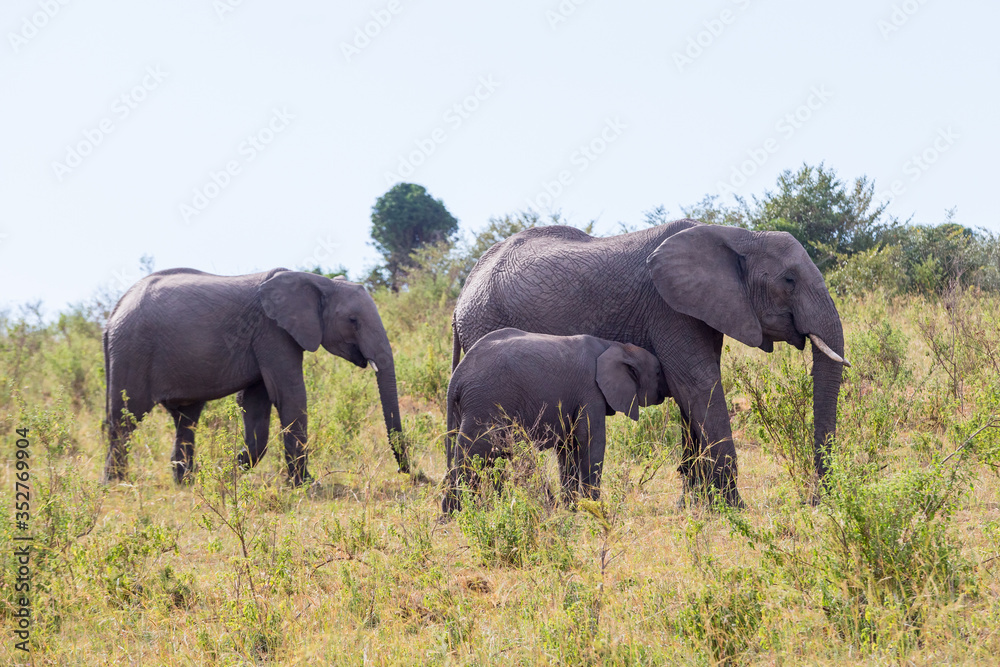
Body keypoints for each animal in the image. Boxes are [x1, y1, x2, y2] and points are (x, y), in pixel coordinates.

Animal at [102, 268, 407, 485]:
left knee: (186, 419)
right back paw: (117, 485)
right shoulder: (272, 331)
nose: (406, 473)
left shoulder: (263, 338)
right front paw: (307, 485)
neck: (317, 282)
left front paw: (229, 471)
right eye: (353, 321)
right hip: (132, 351)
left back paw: (185, 483)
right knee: (124, 419)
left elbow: (256, 404)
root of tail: (113, 313)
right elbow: (289, 396)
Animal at [442, 328, 665, 513]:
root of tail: (456, 378)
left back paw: (450, 514)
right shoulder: (590, 390)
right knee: (473, 455)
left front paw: (571, 510)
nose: (665, 392)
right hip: (485, 403)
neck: (615, 346)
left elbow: (567, 447)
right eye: (657, 372)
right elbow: (590, 440)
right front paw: (594, 509)